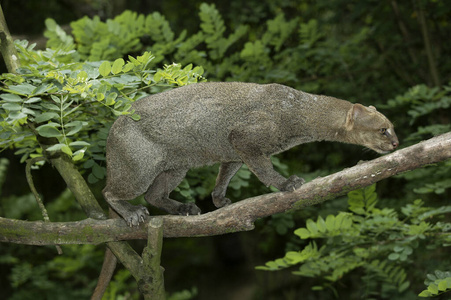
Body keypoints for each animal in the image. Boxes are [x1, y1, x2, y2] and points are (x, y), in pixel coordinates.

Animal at [103, 81, 400, 225]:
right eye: (383, 130)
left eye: (392, 128)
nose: (397, 143)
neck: (299, 111)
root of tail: (113, 126)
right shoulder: (244, 138)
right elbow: (264, 170)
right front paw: (286, 184)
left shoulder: (234, 153)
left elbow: (223, 178)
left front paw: (218, 199)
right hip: (139, 170)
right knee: (110, 192)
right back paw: (132, 214)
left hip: (175, 168)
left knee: (154, 195)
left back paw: (184, 208)